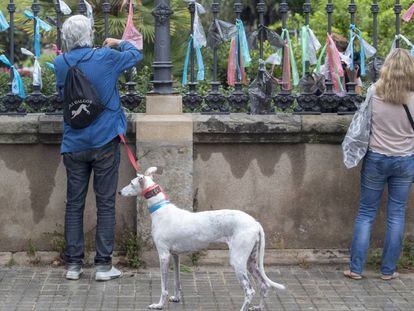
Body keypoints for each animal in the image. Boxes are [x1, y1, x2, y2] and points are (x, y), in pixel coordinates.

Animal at [119, 169, 284, 310]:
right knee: (264, 285)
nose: (119, 192)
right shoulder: (175, 255)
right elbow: (176, 280)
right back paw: (258, 307)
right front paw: (177, 298)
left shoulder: (163, 255)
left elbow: (163, 286)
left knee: (250, 291)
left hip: (238, 260)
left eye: (132, 183)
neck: (161, 209)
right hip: (251, 261)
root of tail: (255, 223)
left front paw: (159, 305)